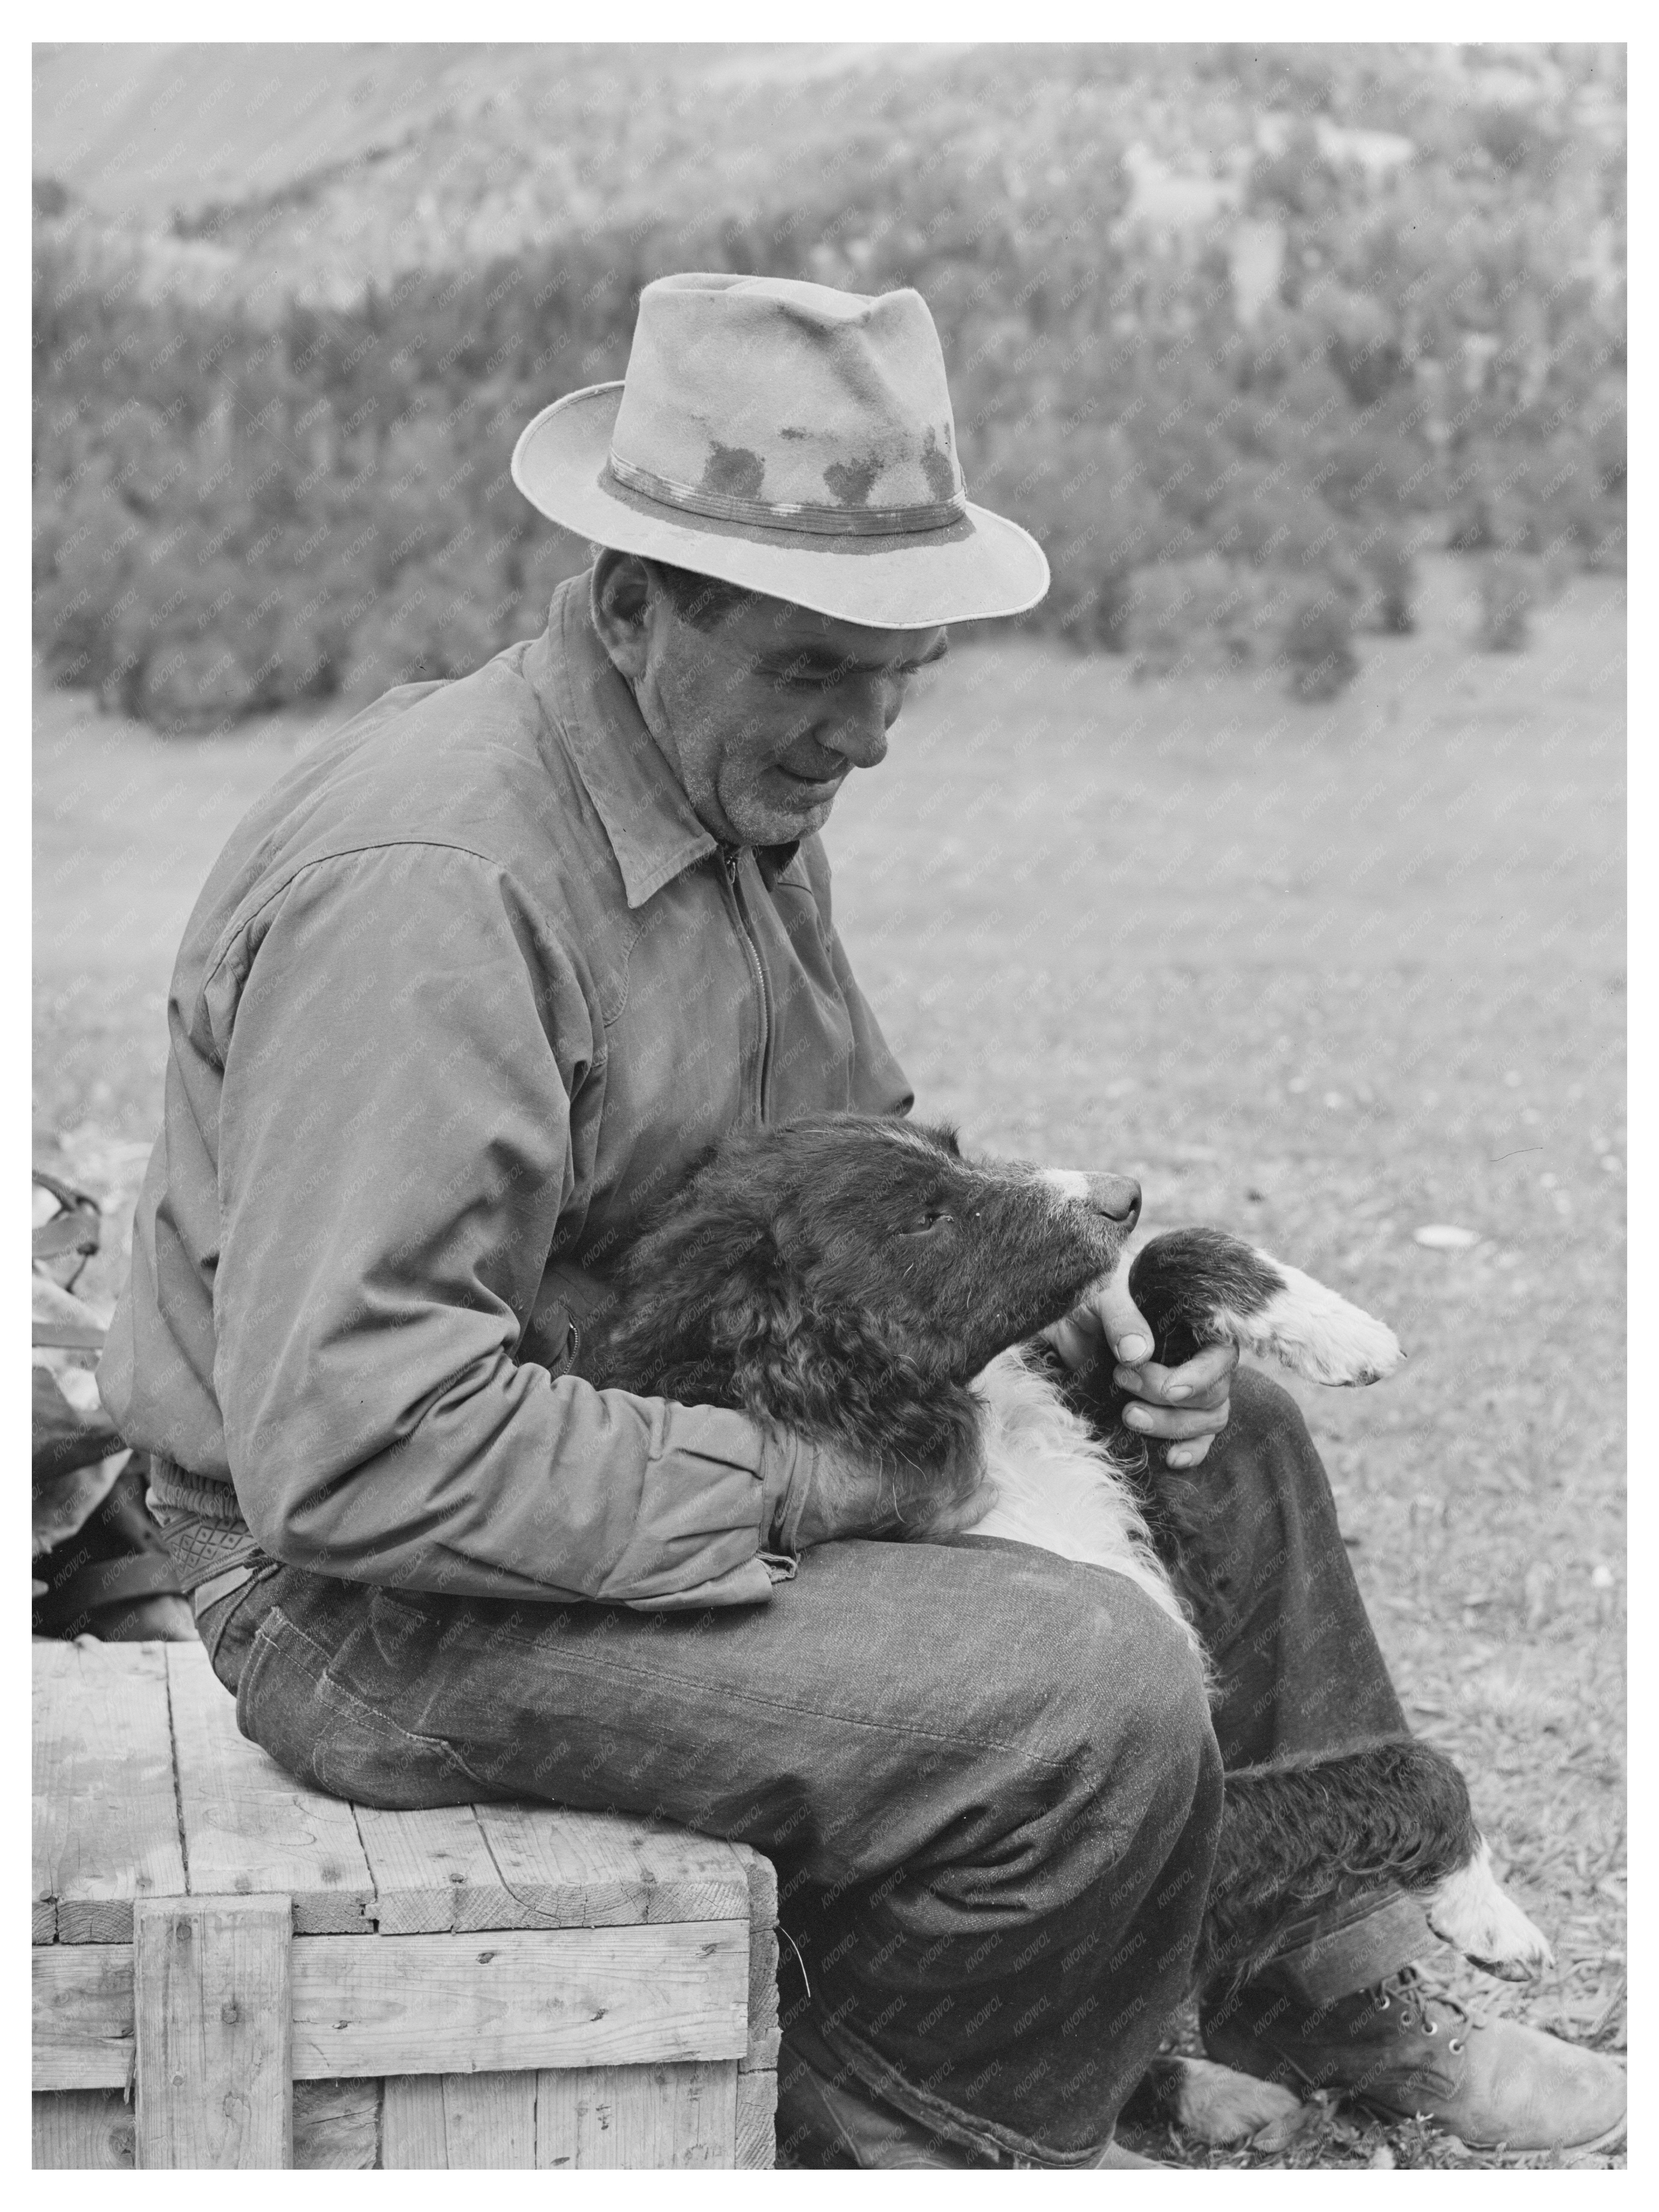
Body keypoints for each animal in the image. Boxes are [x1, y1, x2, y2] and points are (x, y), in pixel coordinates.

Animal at [579, 1115, 1557, 2150]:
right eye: (924, 1218)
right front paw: (1490, 1910)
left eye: (951, 1147)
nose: (1121, 1193)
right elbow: (1403, 1770)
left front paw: (1330, 1323)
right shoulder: (1190, 1849)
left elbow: (1162, 1268)